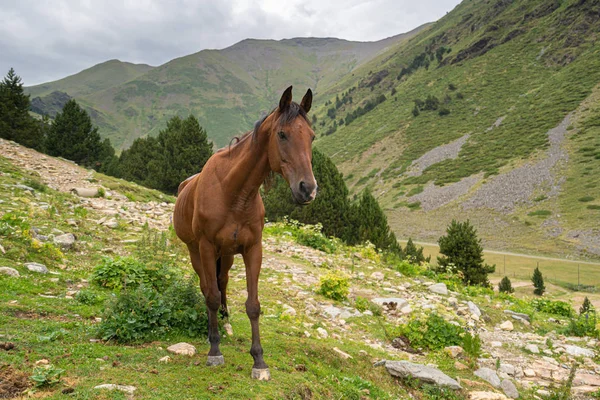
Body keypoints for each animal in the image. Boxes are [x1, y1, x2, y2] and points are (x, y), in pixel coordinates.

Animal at [172, 86, 316, 380]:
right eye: (282, 134)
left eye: (311, 136)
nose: (308, 189)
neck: (234, 192)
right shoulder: (206, 247)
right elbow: (211, 296)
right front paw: (215, 351)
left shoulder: (253, 250)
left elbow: (253, 305)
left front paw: (259, 361)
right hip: (196, 252)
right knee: (207, 287)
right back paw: (212, 332)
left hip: (226, 255)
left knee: (222, 281)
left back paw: (225, 322)